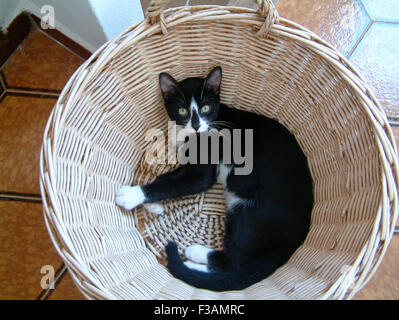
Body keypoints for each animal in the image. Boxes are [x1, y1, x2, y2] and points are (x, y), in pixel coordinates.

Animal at [115, 66, 312, 292]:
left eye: (206, 108)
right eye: (182, 111)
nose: (196, 125)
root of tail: (302, 227)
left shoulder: (201, 173)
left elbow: (172, 185)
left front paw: (132, 195)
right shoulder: (187, 165)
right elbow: (165, 178)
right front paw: (152, 205)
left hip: (250, 212)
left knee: (234, 263)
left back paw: (194, 257)